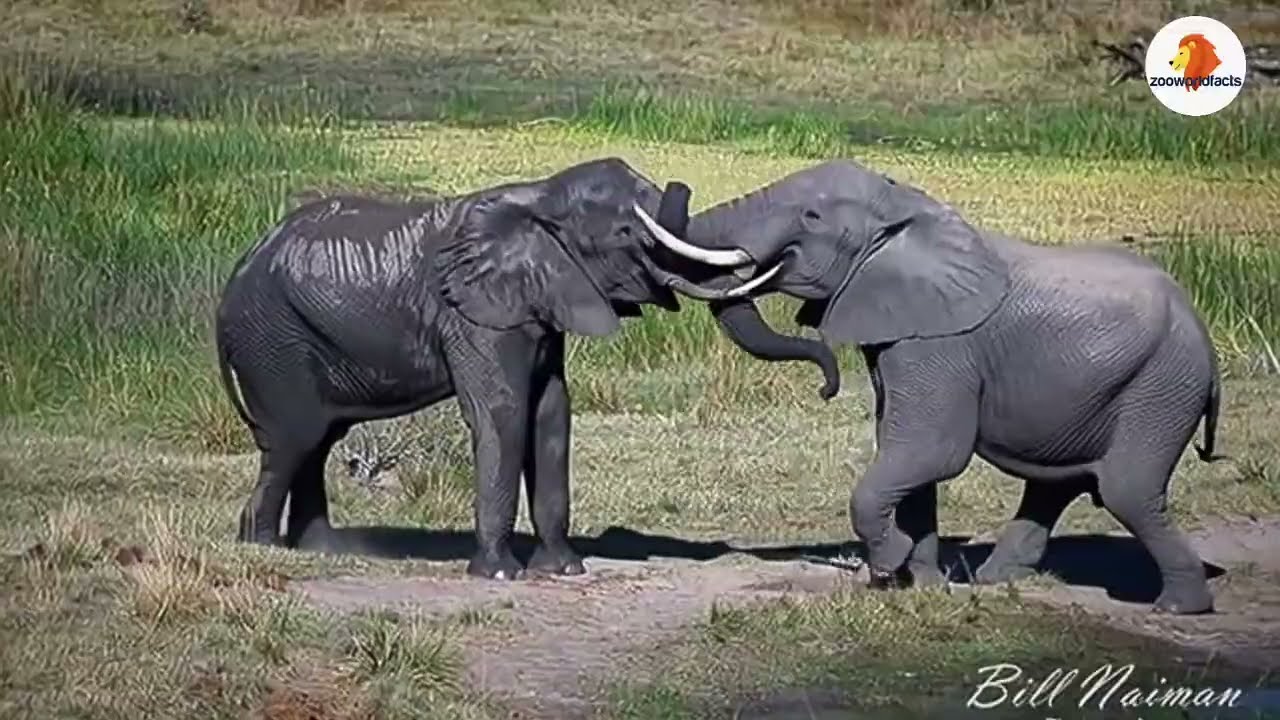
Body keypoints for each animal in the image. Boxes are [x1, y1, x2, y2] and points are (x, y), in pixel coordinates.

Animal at [214, 157, 840, 580]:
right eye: (626, 234)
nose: (828, 390)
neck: (540, 198)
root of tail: (232, 280)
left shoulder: (545, 300)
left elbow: (551, 415)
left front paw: (564, 570)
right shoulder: (475, 311)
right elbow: (504, 412)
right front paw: (497, 574)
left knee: (318, 439)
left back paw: (323, 550)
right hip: (272, 338)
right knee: (296, 438)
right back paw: (262, 546)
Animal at [633, 158, 1227, 614]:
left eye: (811, 216)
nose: (826, 389)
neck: (903, 211)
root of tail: (1204, 335)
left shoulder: (940, 347)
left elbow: (930, 451)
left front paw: (889, 567)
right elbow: (906, 455)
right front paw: (919, 584)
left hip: (1163, 384)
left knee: (1126, 488)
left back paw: (1178, 608)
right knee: (1057, 484)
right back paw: (996, 581)